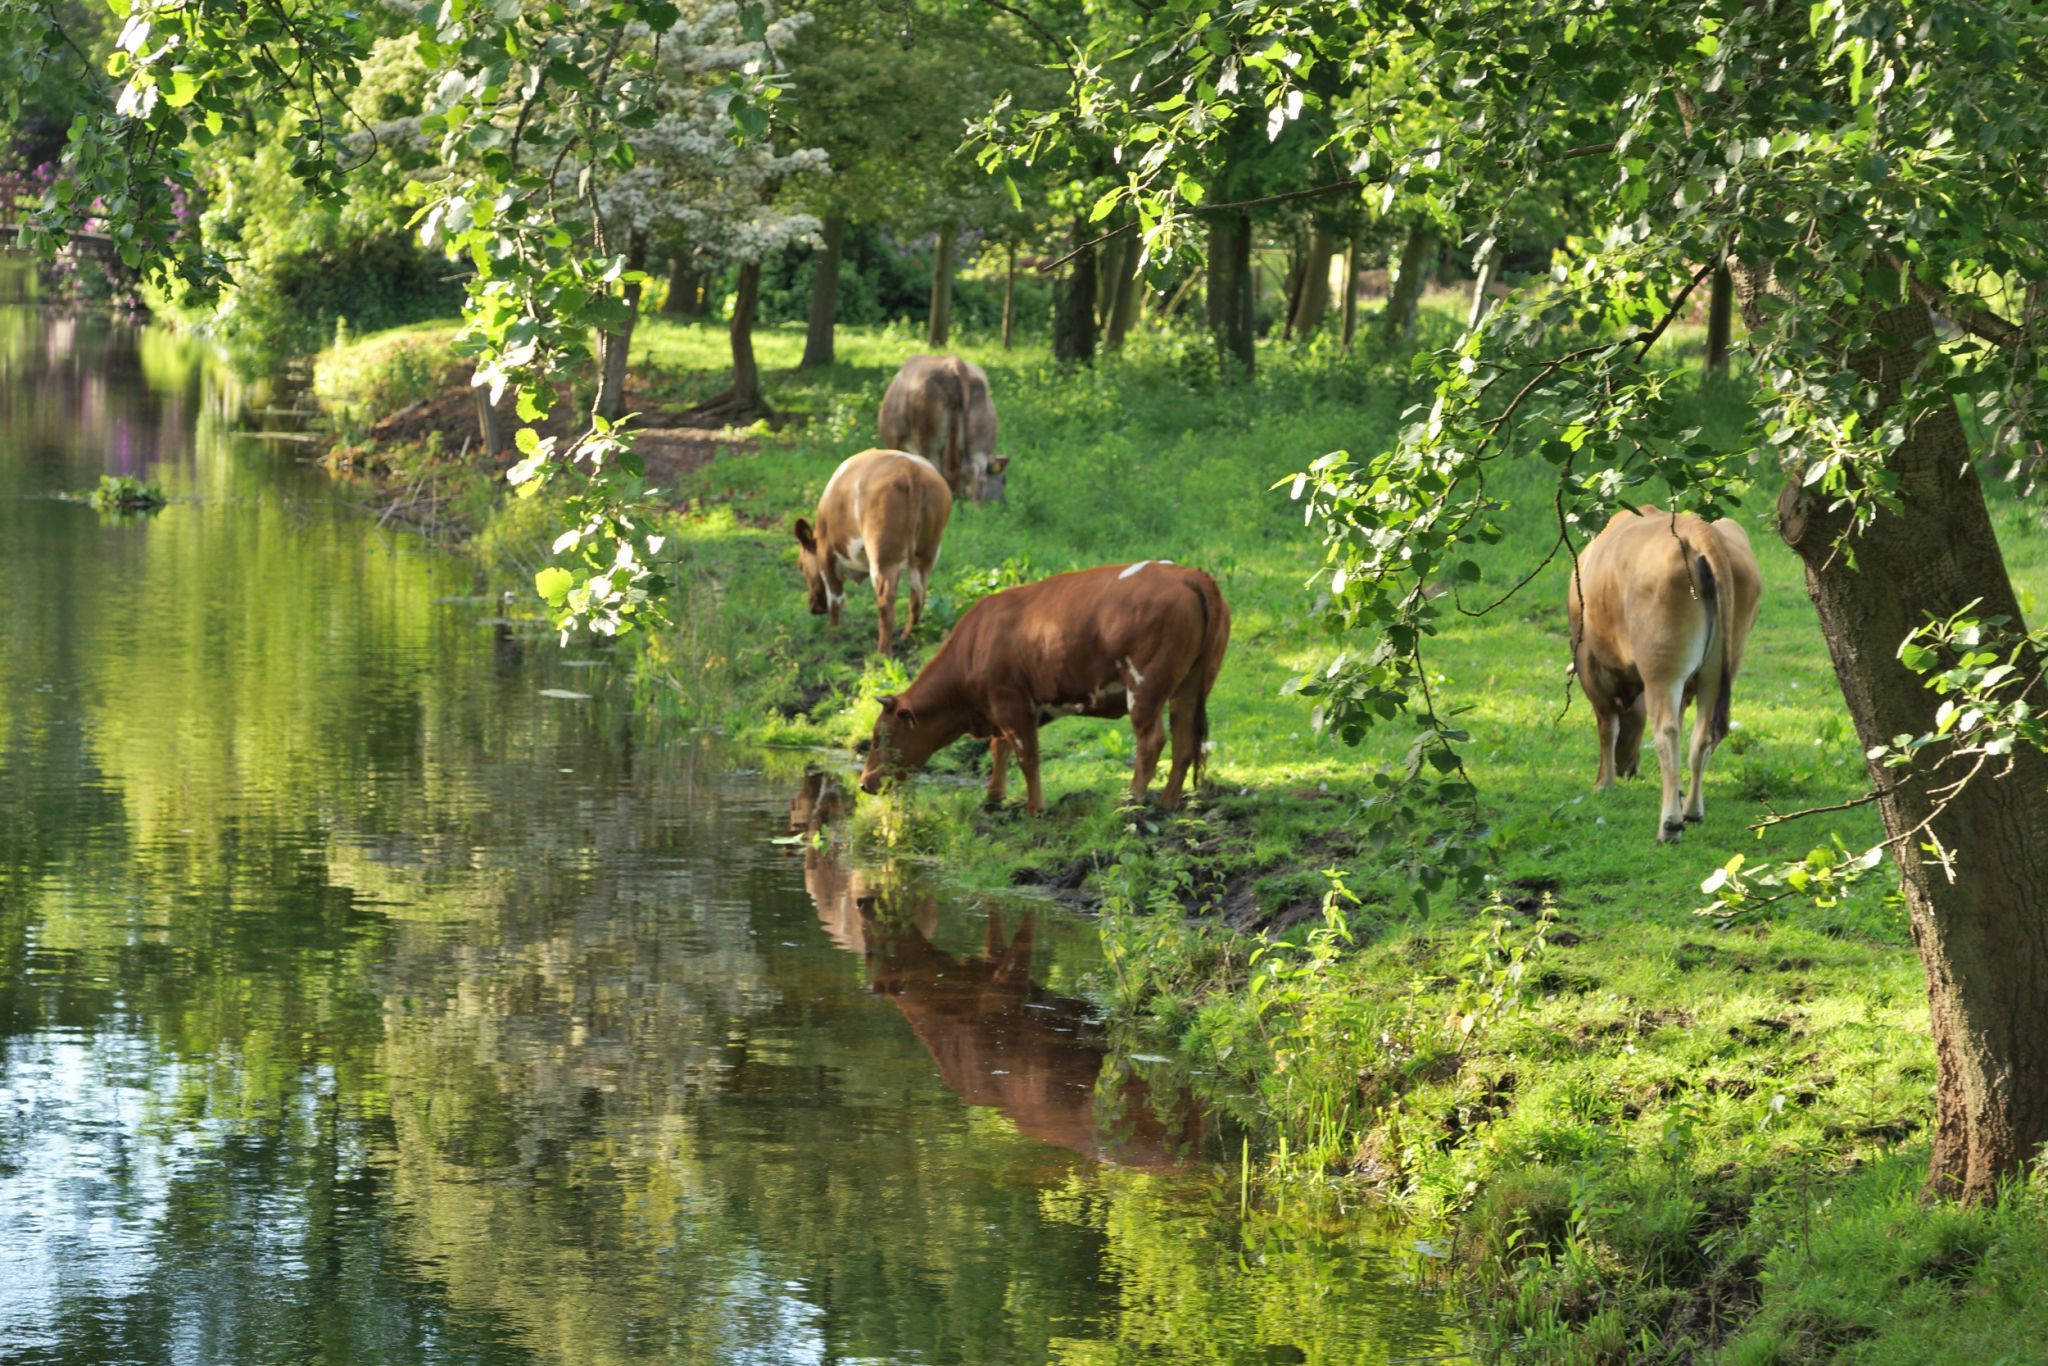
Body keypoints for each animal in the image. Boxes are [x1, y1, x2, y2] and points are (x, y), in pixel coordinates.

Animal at [794, 447, 951, 655]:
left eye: (801, 567)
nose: (814, 608)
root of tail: (910, 466)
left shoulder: (826, 556)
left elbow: (836, 600)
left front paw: (834, 642)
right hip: (927, 552)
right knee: (918, 594)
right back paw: (907, 637)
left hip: (882, 556)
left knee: (886, 599)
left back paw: (882, 652)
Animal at [858, 561, 1230, 814]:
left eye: (880, 737)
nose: (864, 782)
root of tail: (1191, 575)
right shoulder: (1006, 707)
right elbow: (1000, 748)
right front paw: (993, 798)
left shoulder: (1011, 701)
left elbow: (1027, 756)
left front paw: (1035, 807)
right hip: (1192, 684)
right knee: (1185, 742)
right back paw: (1166, 804)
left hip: (1145, 686)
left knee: (1152, 741)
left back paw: (1131, 801)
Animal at [1567, 506, 1763, 844]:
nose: (1626, 767)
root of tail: (1699, 530)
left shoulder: (1589, 664)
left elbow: (1607, 726)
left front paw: (1603, 783)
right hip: (1718, 669)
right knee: (1703, 735)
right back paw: (1692, 811)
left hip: (1663, 669)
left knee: (1667, 733)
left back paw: (1670, 825)